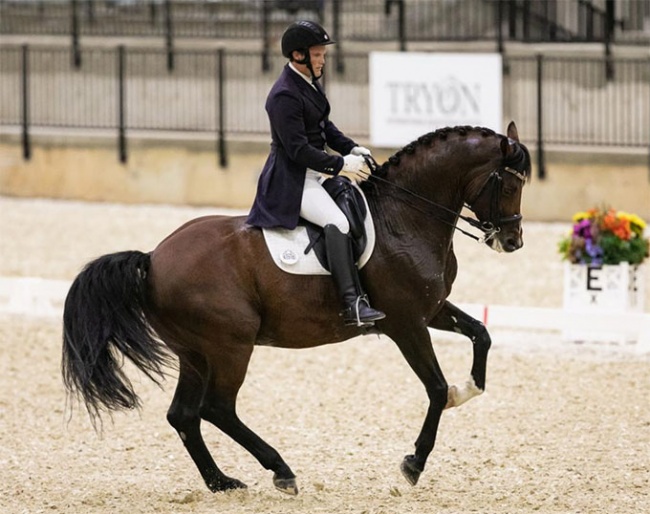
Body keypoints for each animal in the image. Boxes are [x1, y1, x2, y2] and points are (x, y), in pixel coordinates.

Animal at [60, 120, 528, 492]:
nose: (512, 242)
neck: (405, 217)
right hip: (230, 346)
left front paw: (468, 389)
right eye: (510, 183)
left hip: (195, 352)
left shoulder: (431, 310)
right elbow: (435, 388)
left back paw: (222, 482)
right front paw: (414, 463)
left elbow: (482, 334)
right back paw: (281, 470)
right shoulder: (406, 324)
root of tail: (153, 259)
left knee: (184, 415)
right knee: (216, 408)